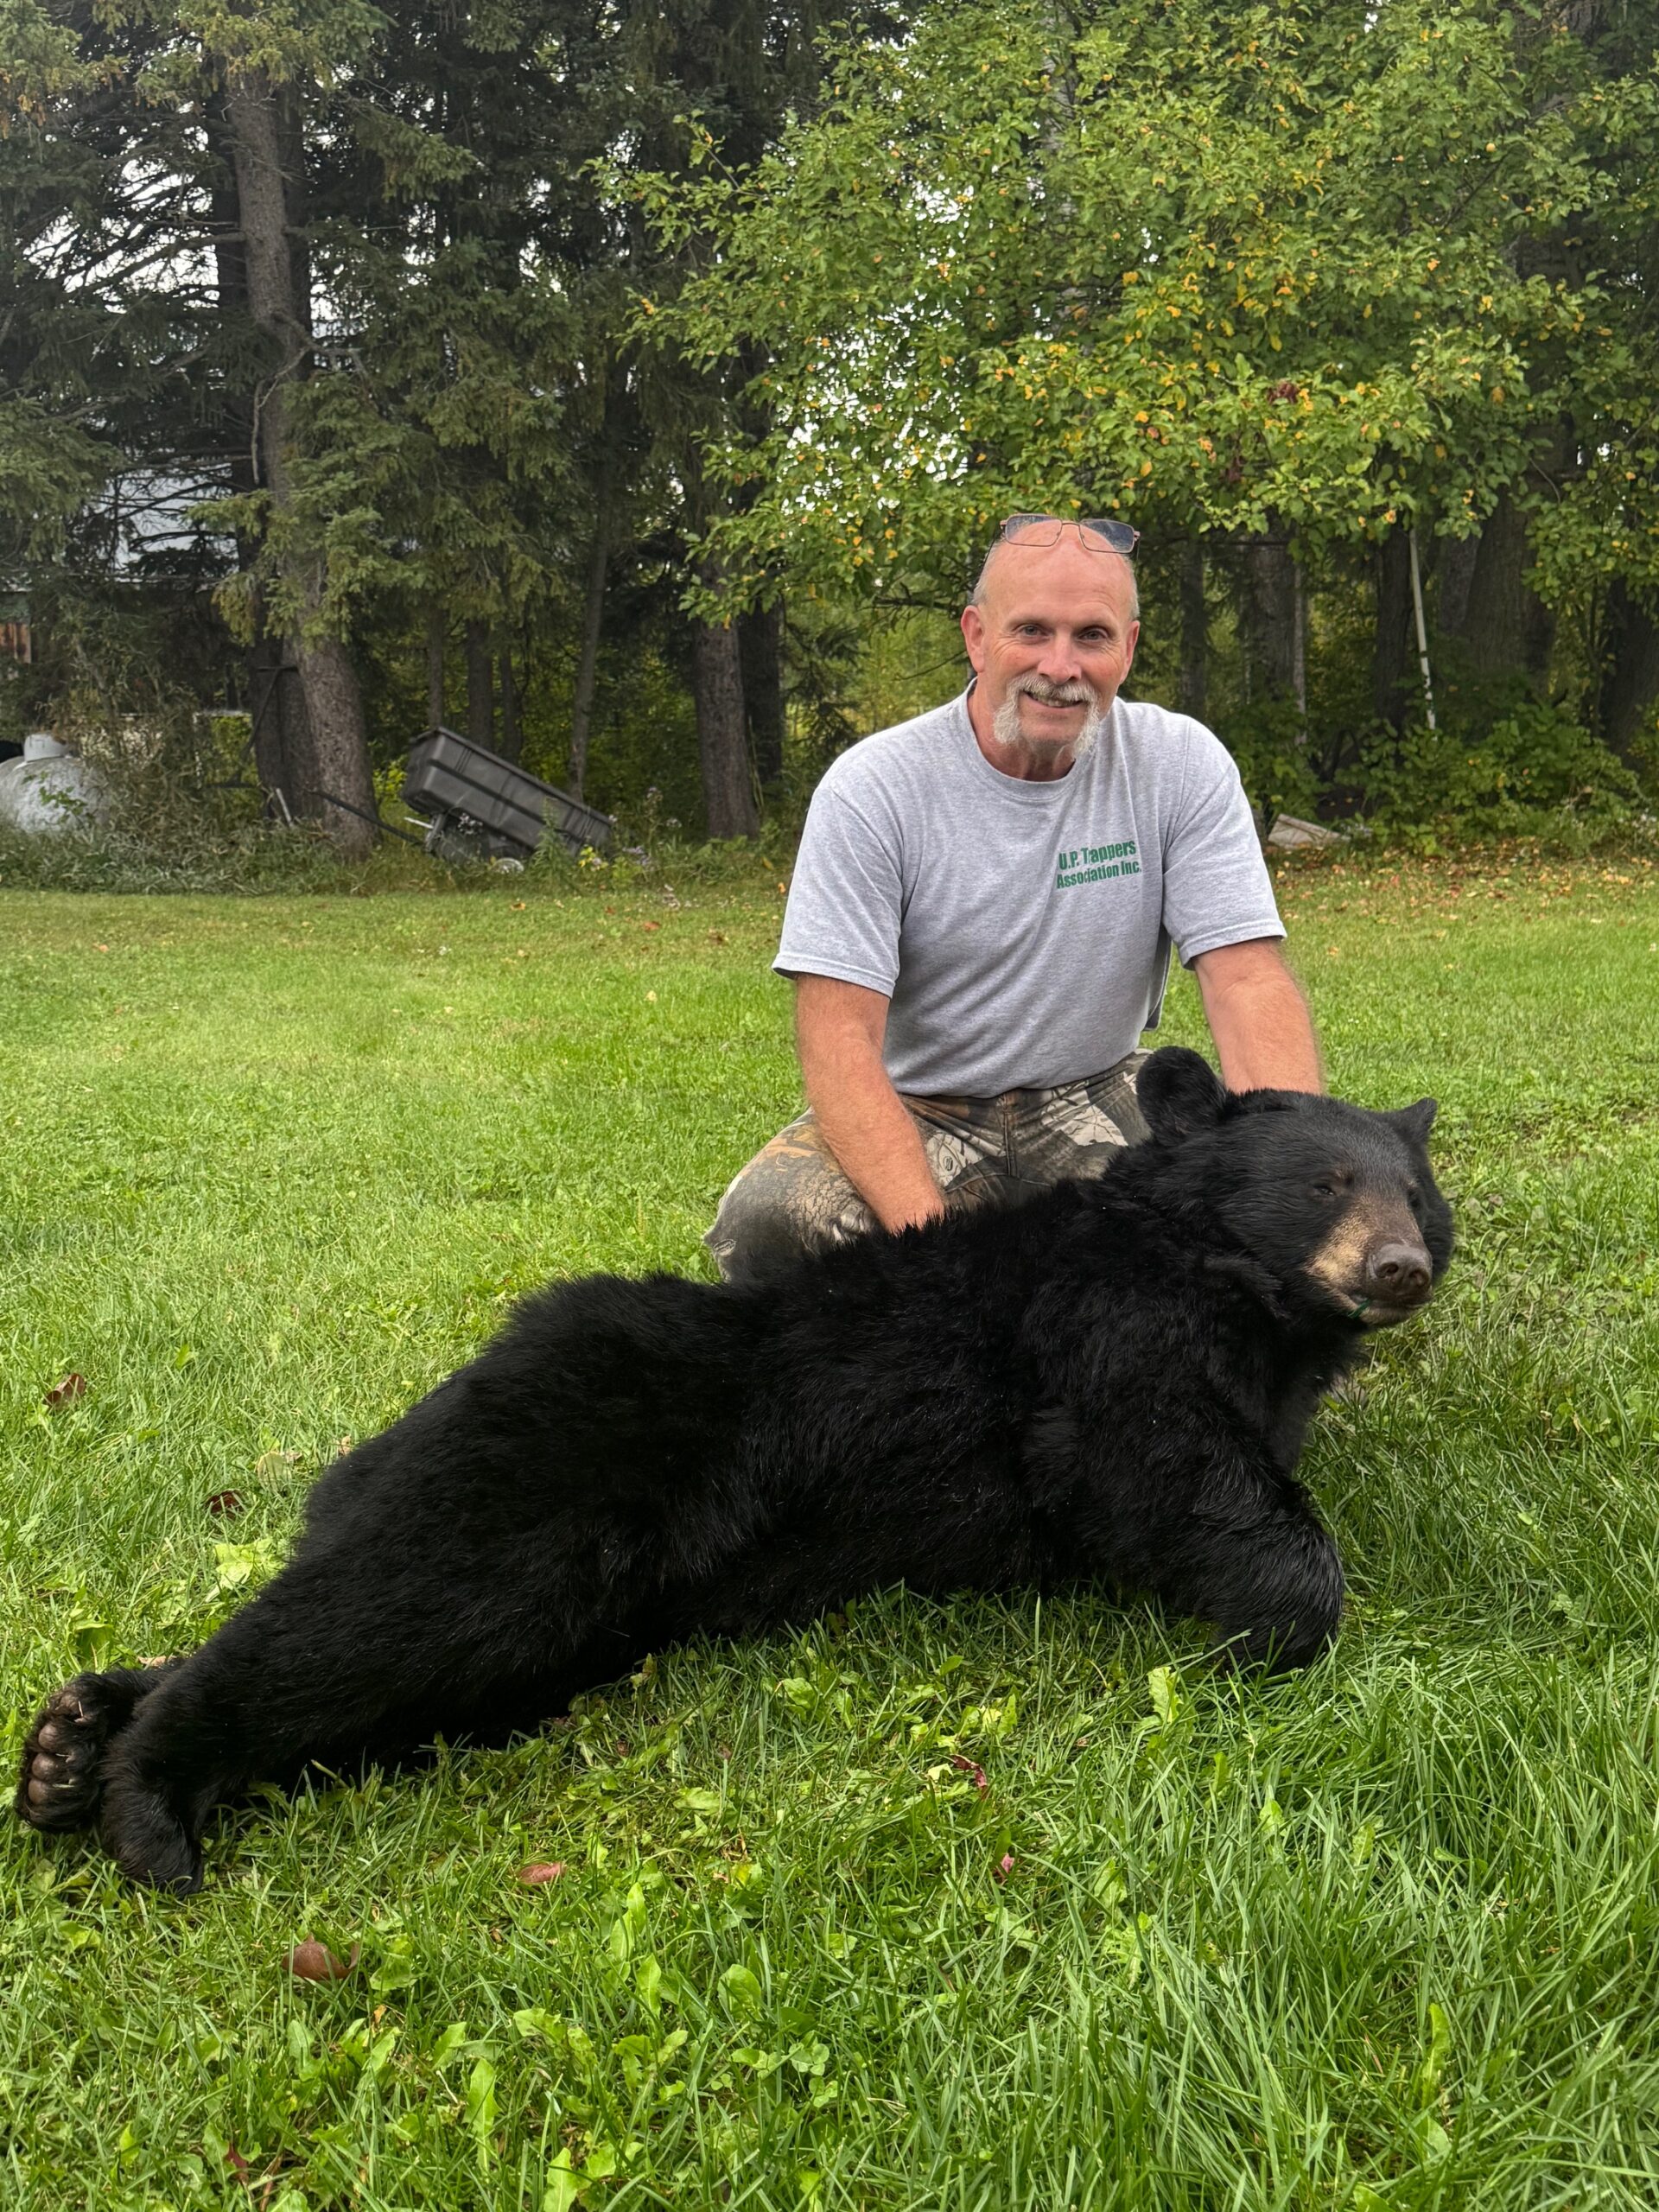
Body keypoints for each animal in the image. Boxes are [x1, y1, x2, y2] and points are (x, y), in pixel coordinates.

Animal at [15, 1046, 1452, 1893]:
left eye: (1414, 1192)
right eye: (1326, 1183)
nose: (1399, 1268)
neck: (1236, 1289)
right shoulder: (1098, 1336)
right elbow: (1160, 1465)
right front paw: (1256, 1633)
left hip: (557, 1620)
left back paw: (67, 1742)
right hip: (540, 1488)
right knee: (373, 1615)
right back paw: (141, 1801)